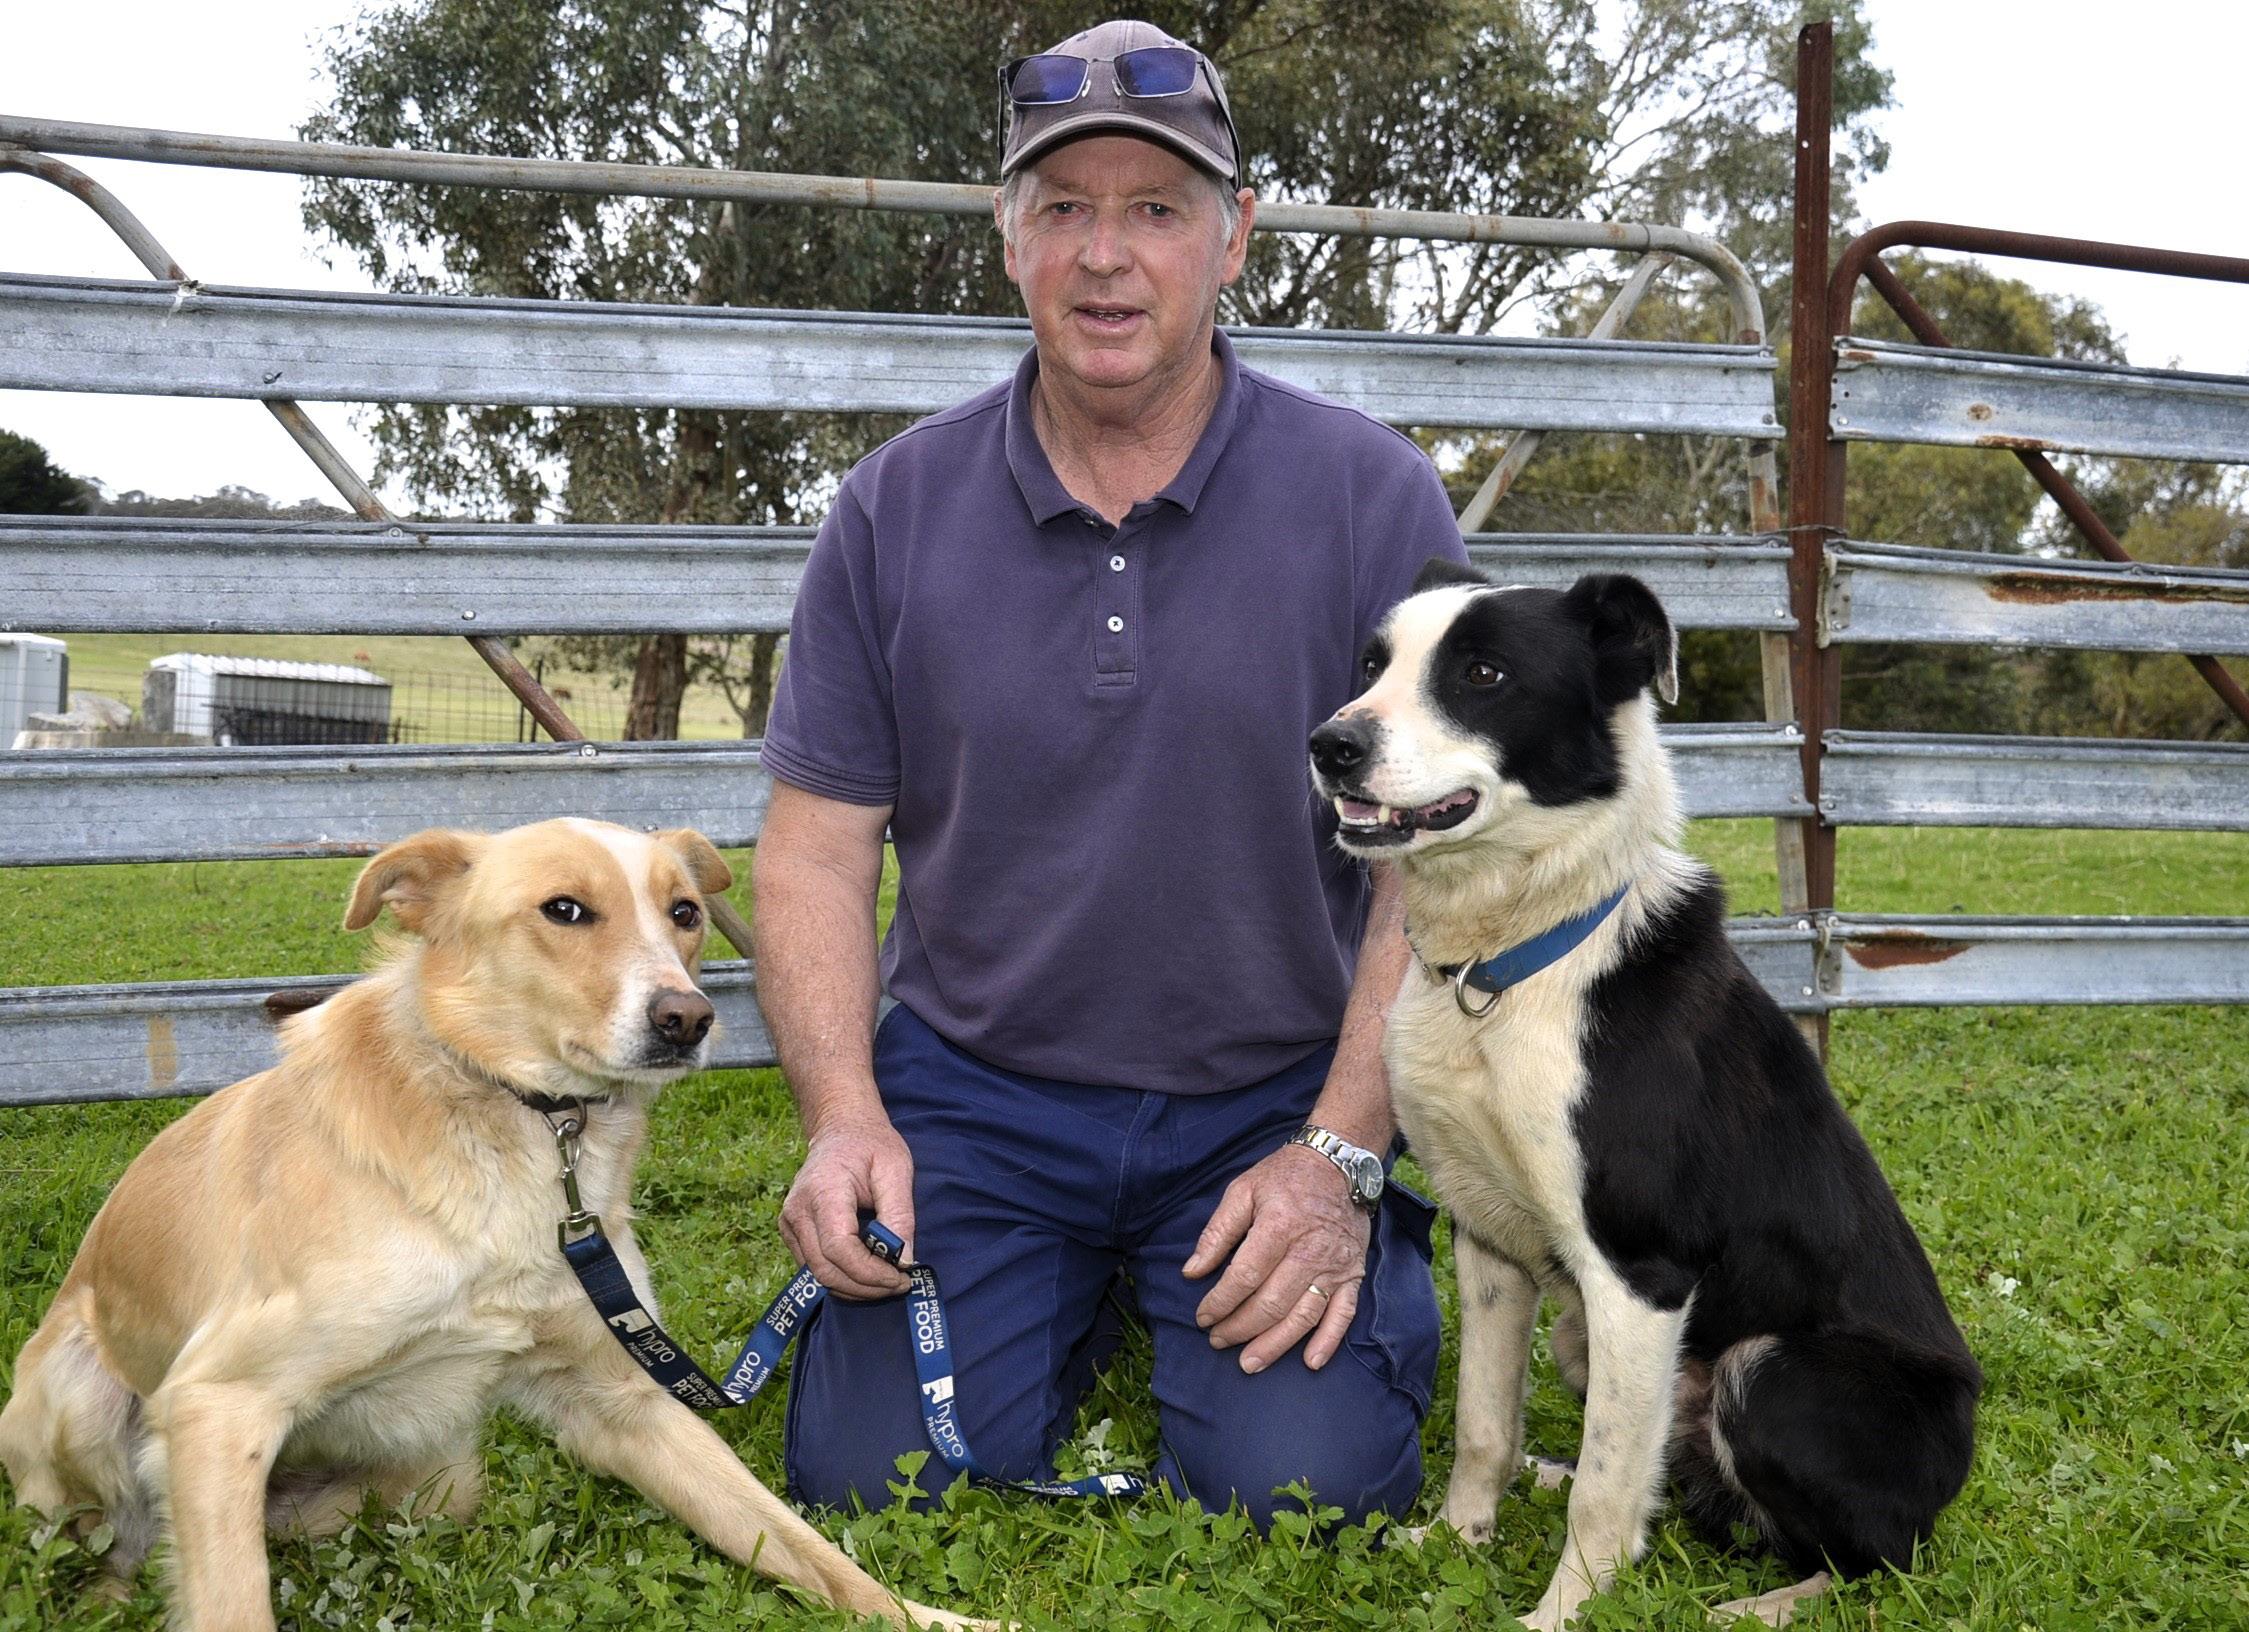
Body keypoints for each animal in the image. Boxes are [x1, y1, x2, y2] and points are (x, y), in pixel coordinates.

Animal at [0, 819, 976, 1631]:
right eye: (565, 910)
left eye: (685, 913)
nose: (688, 1017)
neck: (530, 1127)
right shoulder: (217, 1403)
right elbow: (234, 1605)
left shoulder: (621, 1400)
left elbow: (795, 1541)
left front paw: (932, 1619)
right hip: (87, 1400)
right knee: (109, 1533)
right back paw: (103, 1593)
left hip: (437, 1480)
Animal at [1310, 564, 1979, 1629]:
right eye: (1372, 667)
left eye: (1483, 673)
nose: (1328, 746)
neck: (1506, 967)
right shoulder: (1490, 1241)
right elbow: (1482, 1425)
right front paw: (1456, 1540)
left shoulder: (1640, 1273)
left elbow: (1604, 1487)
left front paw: (1560, 1613)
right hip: (1586, 1339)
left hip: (1768, 1370)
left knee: (1877, 1559)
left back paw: (1755, 1607)